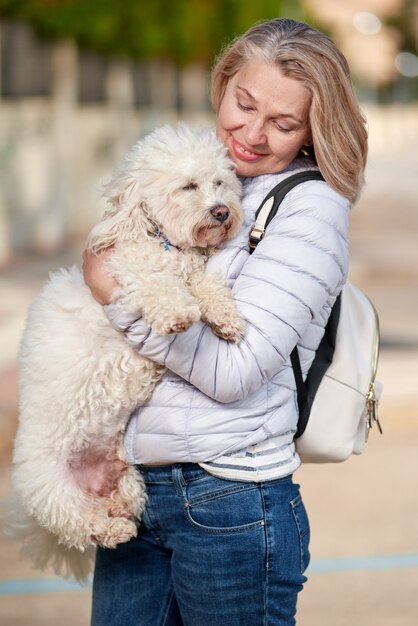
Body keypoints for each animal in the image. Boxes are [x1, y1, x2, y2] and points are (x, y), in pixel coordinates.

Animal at [9, 123, 243, 580]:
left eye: (219, 182)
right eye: (189, 186)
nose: (223, 211)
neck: (164, 243)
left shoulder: (193, 274)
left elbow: (207, 286)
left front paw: (224, 316)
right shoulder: (128, 276)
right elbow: (160, 285)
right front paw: (178, 314)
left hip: (128, 475)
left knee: (122, 501)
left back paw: (120, 510)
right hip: (53, 489)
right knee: (81, 524)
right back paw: (112, 530)